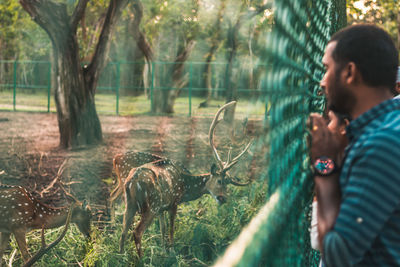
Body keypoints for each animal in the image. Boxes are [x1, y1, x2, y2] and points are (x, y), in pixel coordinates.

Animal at [117, 101, 253, 258]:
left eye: (228, 183)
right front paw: (172, 252)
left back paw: (121, 256)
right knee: (137, 232)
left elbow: (163, 229)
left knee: (123, 231)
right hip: (151, 205)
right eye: (220, 181)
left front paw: (163, 251)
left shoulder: (162, 208)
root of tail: (131, 182)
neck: (185, 186)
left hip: (130, 203)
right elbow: (171, 228)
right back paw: (141, 259)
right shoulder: (173, 202)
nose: (223, 198)